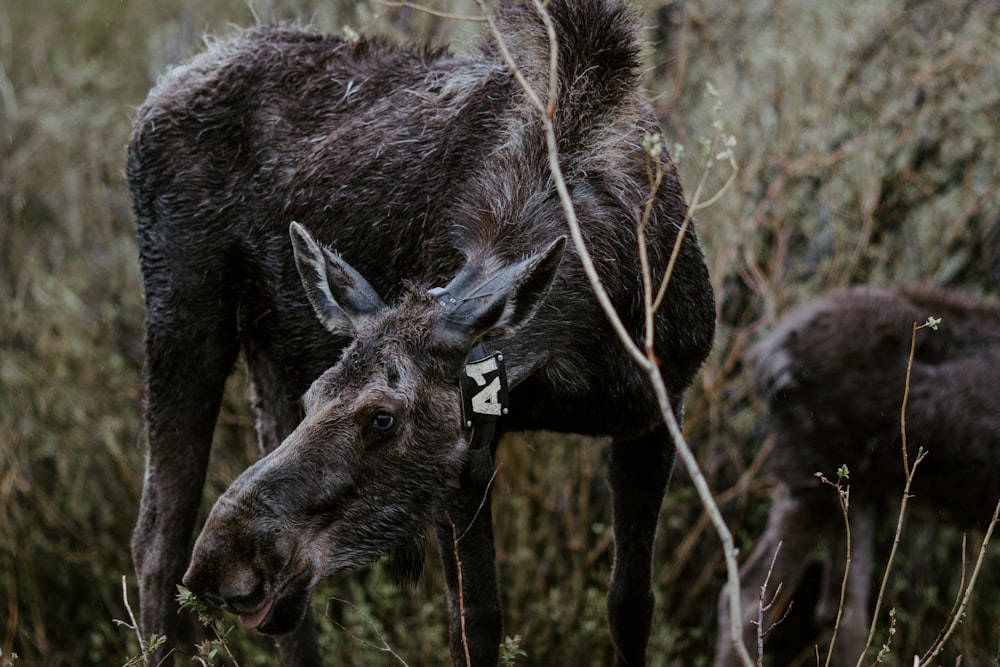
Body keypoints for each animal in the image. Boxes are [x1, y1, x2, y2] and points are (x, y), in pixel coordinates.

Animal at [127, 0, 720, 664]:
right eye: (318, 399)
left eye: (383, 418)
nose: (223, 562)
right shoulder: (464, 453)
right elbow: (475, 622)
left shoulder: (658, 409)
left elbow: (630, 606)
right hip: (182, 308)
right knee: (156, 543)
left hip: (268, 346)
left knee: (278, 611)